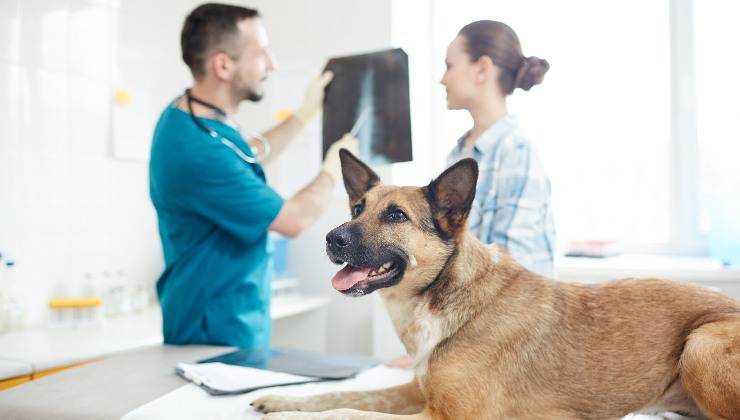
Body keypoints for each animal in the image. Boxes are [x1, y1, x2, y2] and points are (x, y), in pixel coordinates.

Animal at [254, 149, 740, 418]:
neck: (444, 297)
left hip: (700, 344)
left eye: (395, 215)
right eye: (357, 208)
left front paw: (286, 418)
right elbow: (341, 393)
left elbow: (347, 412)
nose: (331, 237)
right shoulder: (415, 391)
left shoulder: (446, 417)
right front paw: (280, 401)